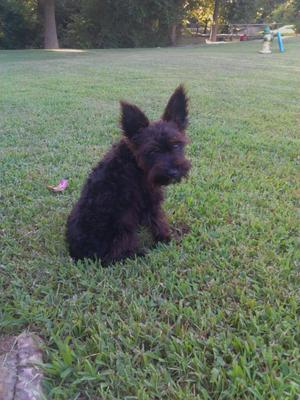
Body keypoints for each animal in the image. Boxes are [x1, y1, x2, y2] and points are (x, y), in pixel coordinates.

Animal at [67, 86, 191, 264]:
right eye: (152, 151)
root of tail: (78, 254)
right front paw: (165, 239)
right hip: (121, 224)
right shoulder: (149, 201)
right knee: (117, 253)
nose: (173, 172)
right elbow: (158, 220)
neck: (134, 164)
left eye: (176, 144)